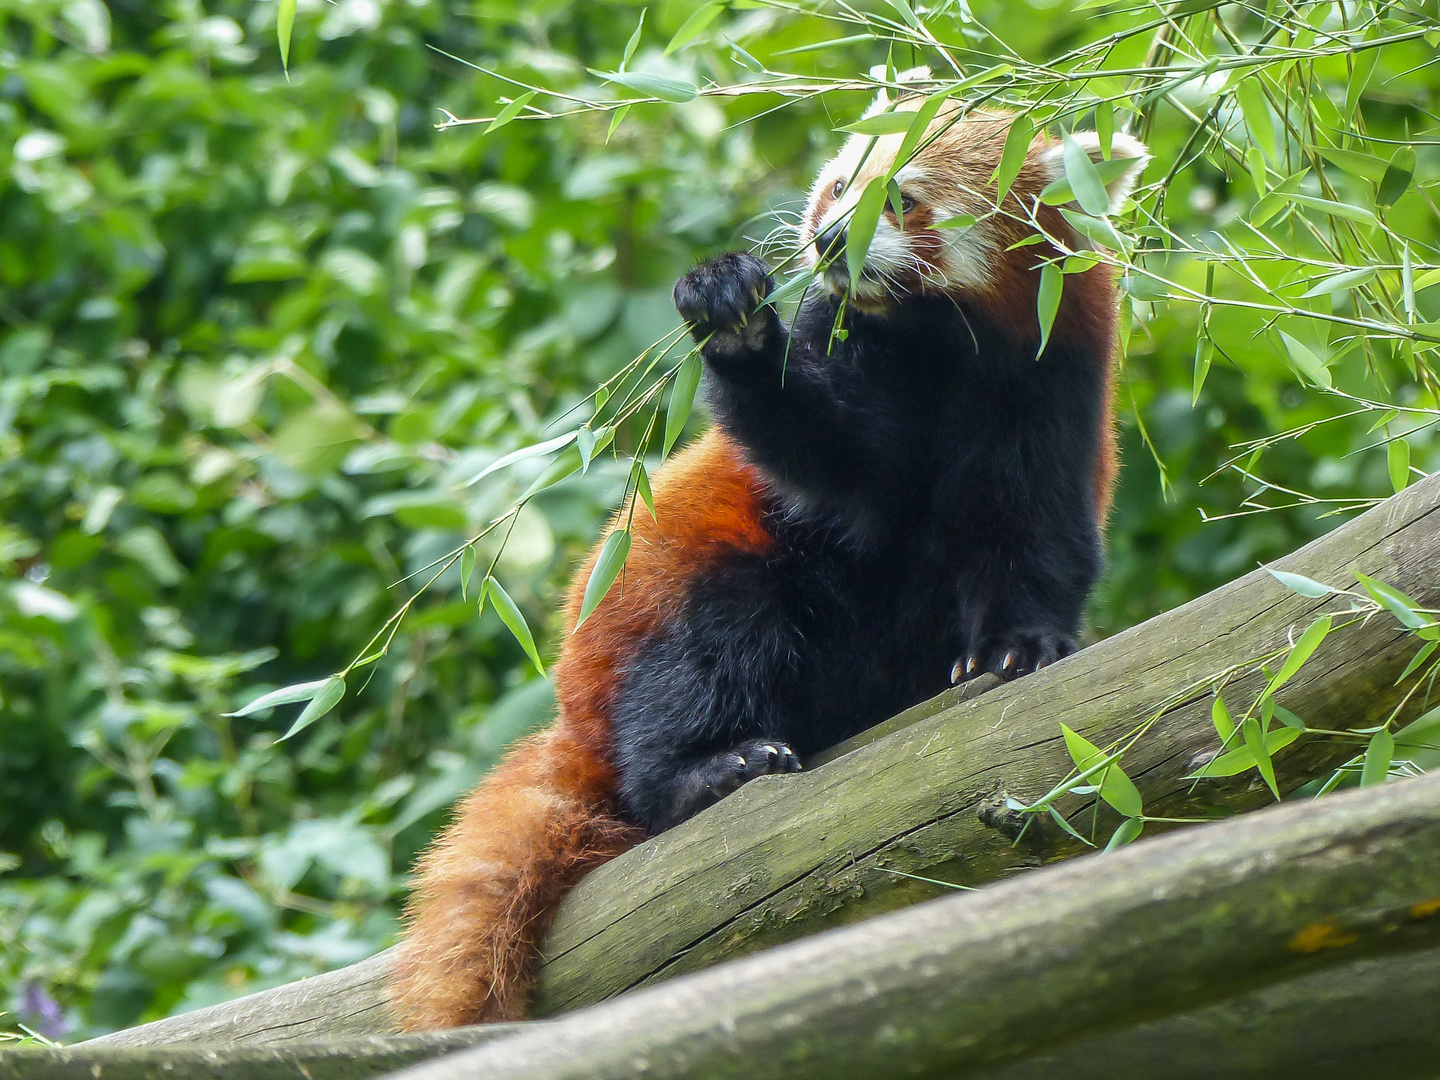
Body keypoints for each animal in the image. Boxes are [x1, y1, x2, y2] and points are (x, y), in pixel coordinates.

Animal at [388, 72, 1152, 1036]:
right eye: (839, 186)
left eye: (900, 199)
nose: (826, 239)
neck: (941, 339)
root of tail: (573, 713)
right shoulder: (852, 372)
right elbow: (825, 452)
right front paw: (737, 322)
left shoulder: (1050, 382)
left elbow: (1032, 535)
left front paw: (1020, 647)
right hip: (667, 596)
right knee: (708, 652)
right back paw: (713, 769)